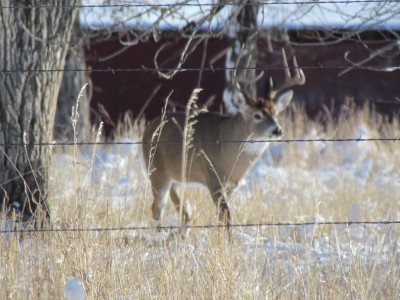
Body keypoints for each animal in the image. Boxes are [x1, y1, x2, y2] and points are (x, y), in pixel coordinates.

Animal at [142, 49, 304, 234]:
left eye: (276, 113)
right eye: (257, 115)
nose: (278, 130)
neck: (228, 150)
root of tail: (148, 128)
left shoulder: (232, 185)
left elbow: (221, 217)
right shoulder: (212, 177)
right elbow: (226, 216)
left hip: (176, 175)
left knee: (179, 204)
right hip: (156, 170)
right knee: (157, 207)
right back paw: (160, 234)